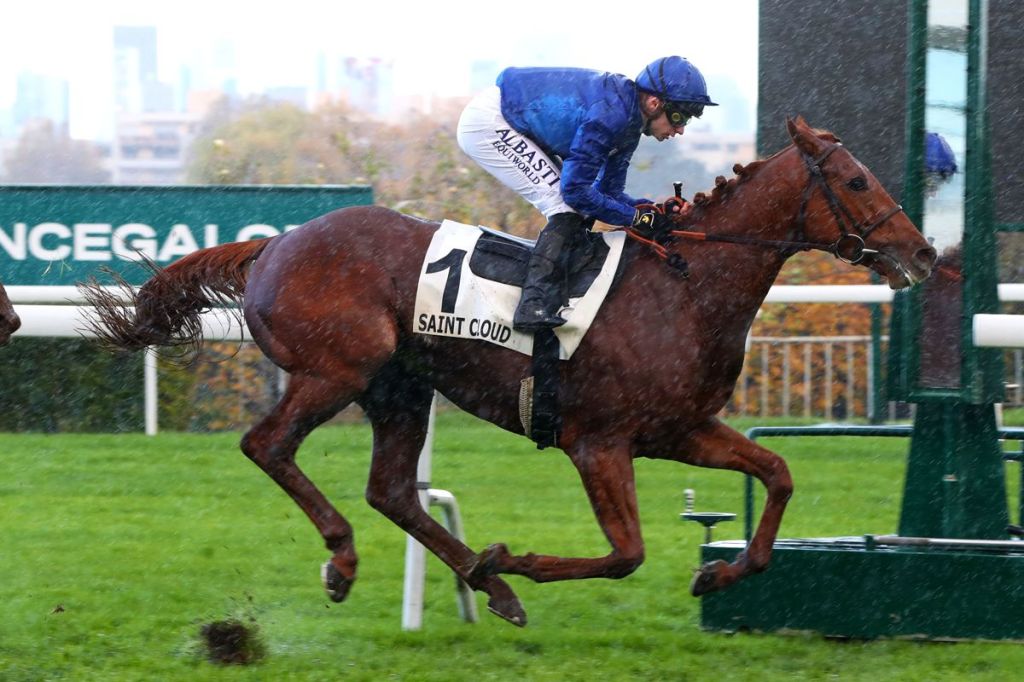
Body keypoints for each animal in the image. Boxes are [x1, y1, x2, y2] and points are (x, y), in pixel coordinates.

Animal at [80, 117, 936, 627]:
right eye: (855, 182)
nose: (924, 253)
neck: (686, 286)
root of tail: (275, 243)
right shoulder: (599, 441)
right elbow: (626, 553)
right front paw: (510, 557)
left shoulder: (679, 429)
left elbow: (779, 473)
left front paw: (718, 579)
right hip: (339, 369)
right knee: (270, 447)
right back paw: (352, 558)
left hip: (402, 385)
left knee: (391, 490)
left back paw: (483, 586)